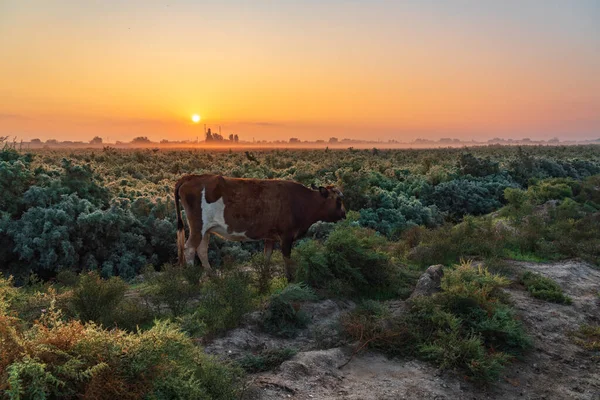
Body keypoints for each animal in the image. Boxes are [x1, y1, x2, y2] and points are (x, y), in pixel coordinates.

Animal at [173, 175, 346, 282]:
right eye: (338, 201)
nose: (344, 214)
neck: (301, 201)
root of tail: (191, 176)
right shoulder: (287, 236)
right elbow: (287, 257)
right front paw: (290, 278)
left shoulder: (270, 236)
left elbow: (266, 256)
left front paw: (264, 275)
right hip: (198, 227)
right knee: (189, 248)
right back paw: (193, 279)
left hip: (206, 230)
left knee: (201, 250)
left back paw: (212, 276)